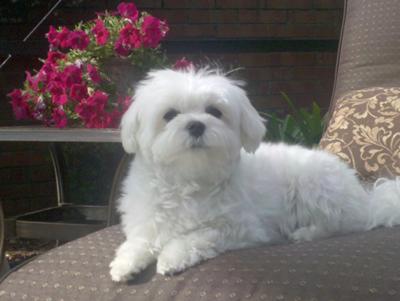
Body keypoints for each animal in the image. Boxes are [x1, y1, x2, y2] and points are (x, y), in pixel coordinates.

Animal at [109, 68, 400, 282]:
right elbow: (139, 240)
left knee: (343, 224)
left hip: (314, 187)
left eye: (214, 111)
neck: (190, 178)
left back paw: (305, 234)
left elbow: (195, 236)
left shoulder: (240, 228)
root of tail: (365, 197)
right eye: (169, 115)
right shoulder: (147, 220)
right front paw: (125, 263)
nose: (196, 125)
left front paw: (172, 257)